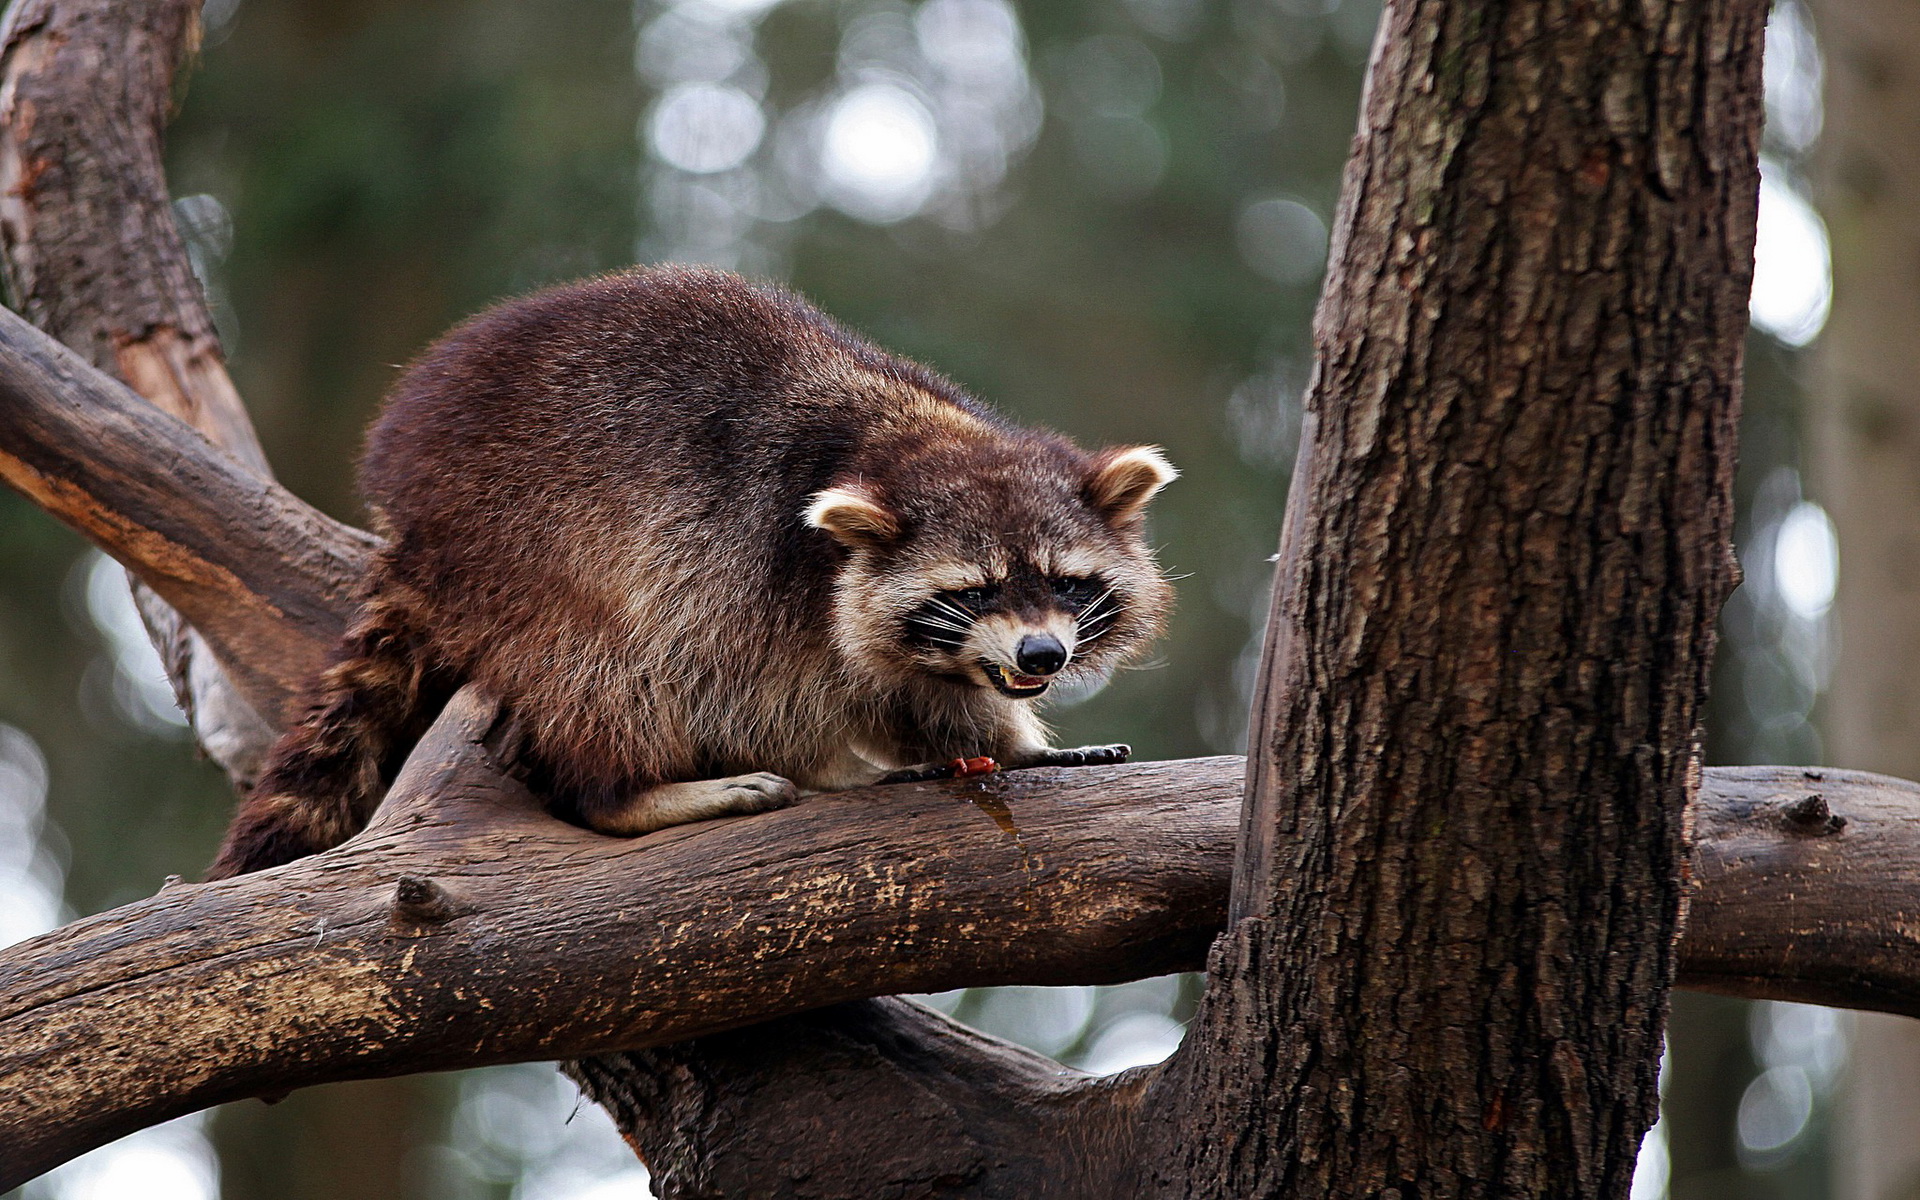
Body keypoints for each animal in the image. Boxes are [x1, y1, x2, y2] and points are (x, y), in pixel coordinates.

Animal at [202, 264, 1175, 879]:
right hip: (527, 545)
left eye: (1064, 583)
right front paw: (841, 767)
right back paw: (625, 792)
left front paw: (1005, 743)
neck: (908, 437)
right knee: (609, 667)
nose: (1042, 657)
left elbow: (916, 691)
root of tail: (411, 519)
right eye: (974, 592)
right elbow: (751, 688)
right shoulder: (743, 556)